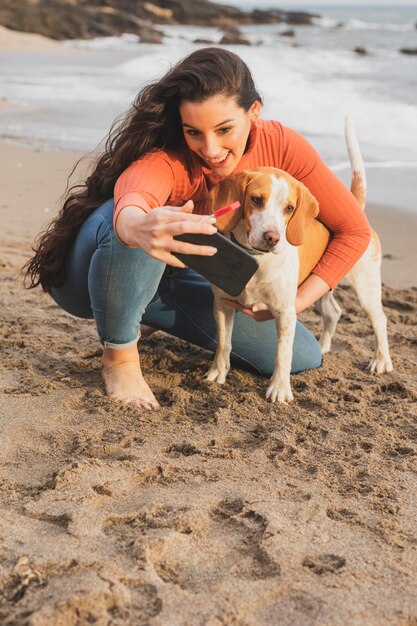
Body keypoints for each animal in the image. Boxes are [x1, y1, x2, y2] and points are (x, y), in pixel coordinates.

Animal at [206, 117, 392, 402]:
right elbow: (224, 343)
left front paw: (280, 388)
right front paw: (218, 372)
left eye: (289, 208)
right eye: (256, 199)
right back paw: (323, 347)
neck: (257, 260)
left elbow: (283, 354)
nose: (272, 238)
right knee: (334, 312)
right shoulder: (223, 304)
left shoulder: (285, 313)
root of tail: (359, 211)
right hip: (322, 285)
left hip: (365, 288)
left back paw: (381, 361)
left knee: (380, 319)